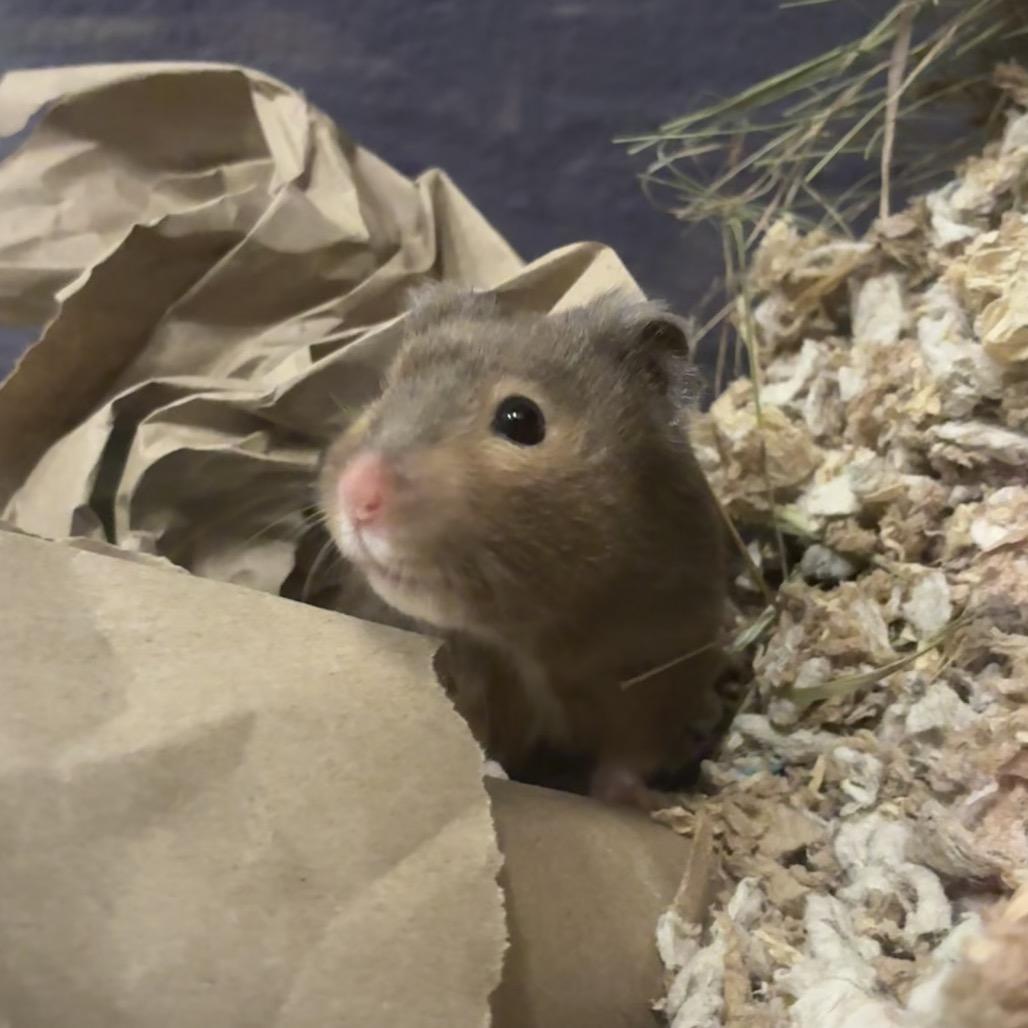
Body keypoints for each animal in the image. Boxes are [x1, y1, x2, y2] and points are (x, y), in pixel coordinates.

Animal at [319, 284, 729, 809]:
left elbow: (629, 755)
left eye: (522, 419)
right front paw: (492, 773)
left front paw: (643, 804)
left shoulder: (664, 660)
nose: (356, 494)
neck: (525, 634)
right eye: (385, 390)